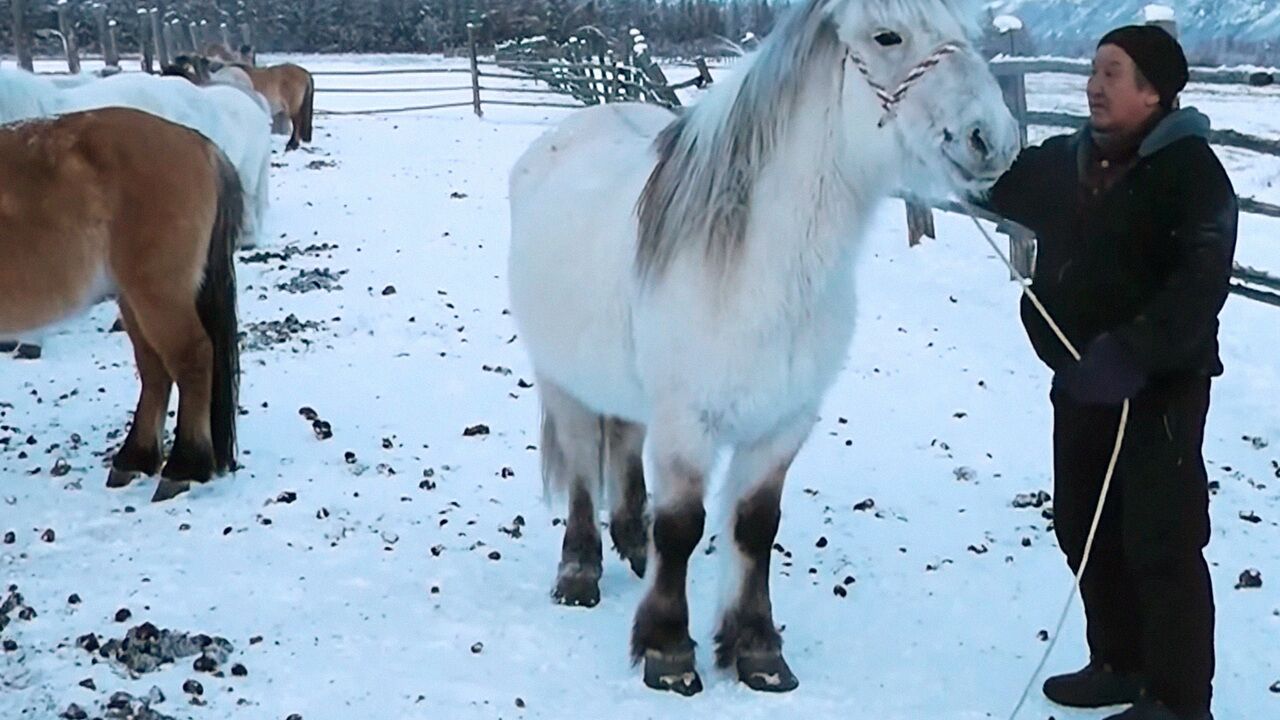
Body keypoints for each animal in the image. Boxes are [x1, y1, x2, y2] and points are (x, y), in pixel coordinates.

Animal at [0, 107, 243, 499]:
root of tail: (197, 143)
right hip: (133, 298)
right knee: (155, 370)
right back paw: (135, 459)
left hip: (158, 293)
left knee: (192, 359)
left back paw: (184, 466)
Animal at [509, 0, 1018, 696]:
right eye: (887, 36)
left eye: (967, 33)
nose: (992, 139)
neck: (758, 265)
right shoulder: (688, 423)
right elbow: (683, 527)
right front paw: (669, 651)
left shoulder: (784, 423)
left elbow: (754, 528)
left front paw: (756, 651)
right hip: (561, 380)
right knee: (585, 466)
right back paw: (579, 572)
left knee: (624, 450)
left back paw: (633, 545)